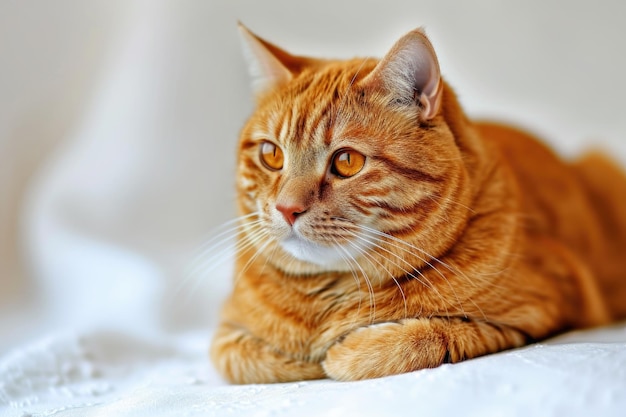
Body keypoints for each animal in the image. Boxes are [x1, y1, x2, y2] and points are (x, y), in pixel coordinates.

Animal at [208, 22, 624, 380]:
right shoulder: (225, 333)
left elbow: (425, 337)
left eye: (346, 162)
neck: (325, 298)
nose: (287, 208)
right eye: (271, 155)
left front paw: (342, 353)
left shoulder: (538, 308)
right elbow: (245, 357)